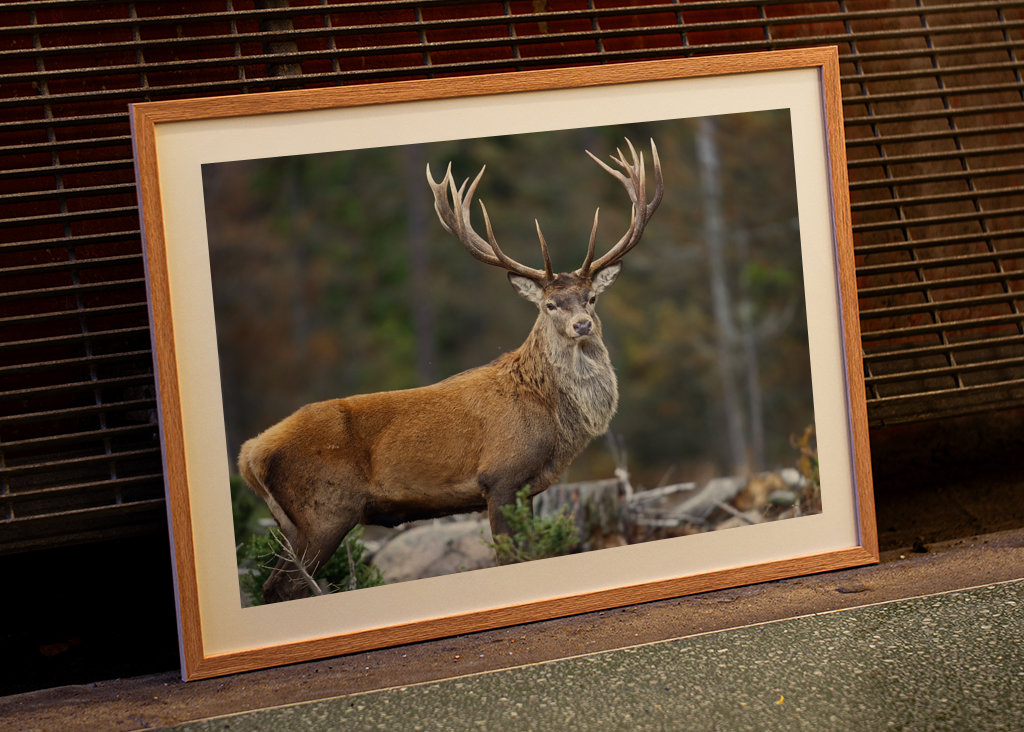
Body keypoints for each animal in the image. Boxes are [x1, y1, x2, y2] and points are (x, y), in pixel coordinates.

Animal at [238, 138, 663, 603]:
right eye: (550, 304)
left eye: (591, 298)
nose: (582, 325)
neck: (553, 420)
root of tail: (249, 455)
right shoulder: (501, 478)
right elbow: (510, 558)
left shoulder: (528, 489)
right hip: (323, 510)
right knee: (282, 585)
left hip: (296, 523)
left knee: (276, 585)